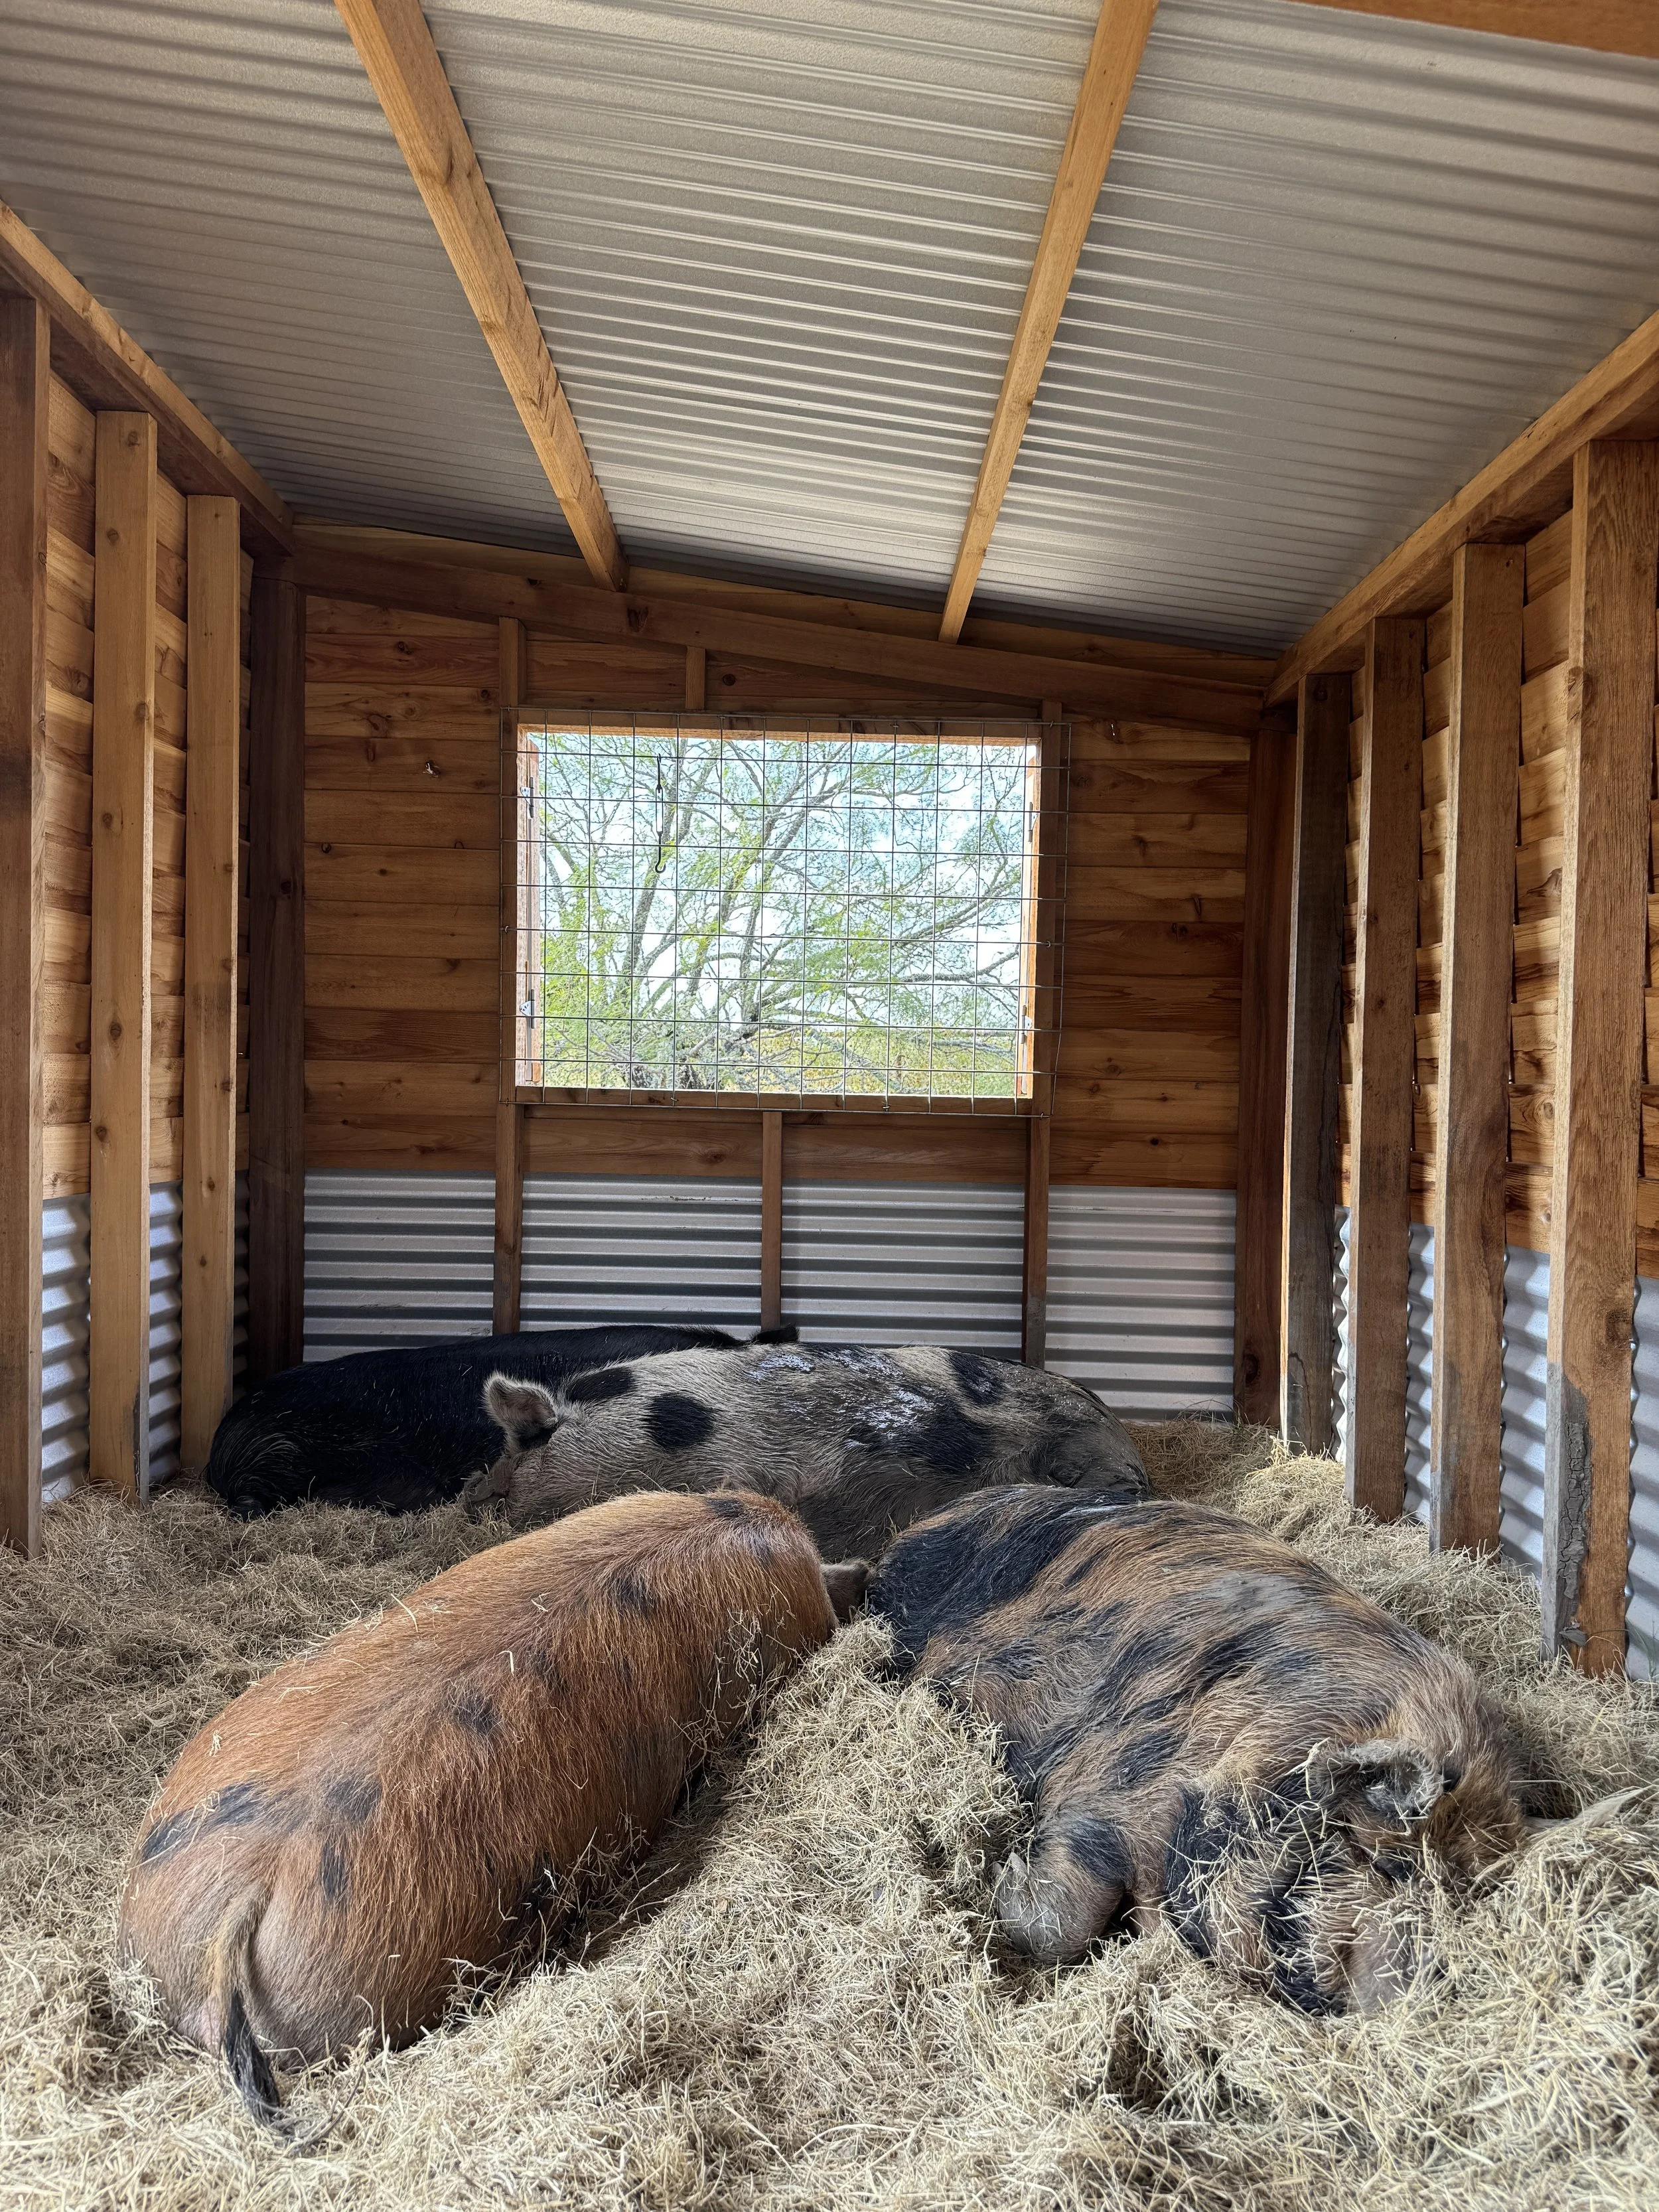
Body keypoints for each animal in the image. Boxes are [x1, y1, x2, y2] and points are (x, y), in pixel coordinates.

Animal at [868, 1485, 1526, 2014]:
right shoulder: (1108, 1783)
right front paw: (1002, 1874)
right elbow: (1064, 1920)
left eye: (1464, 1900)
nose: (1423, 1993)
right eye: (1392, 1866)